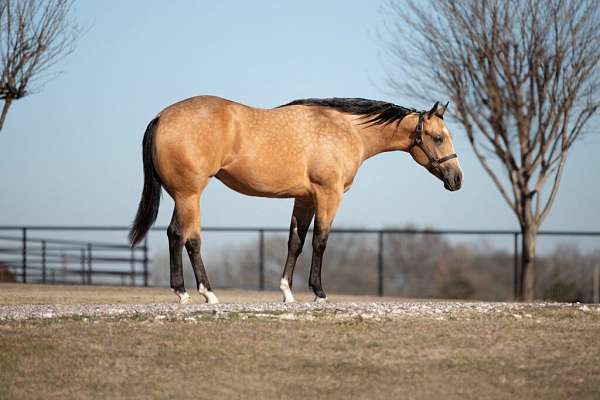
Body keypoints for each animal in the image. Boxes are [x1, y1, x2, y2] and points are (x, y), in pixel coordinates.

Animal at [127, 96, 464, 304]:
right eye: (438, 138)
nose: (457, 179)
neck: (345, 130)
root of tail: (161, 117)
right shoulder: (328, 195)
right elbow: (320, 241)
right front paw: (319, 292)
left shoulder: (304, 199)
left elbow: (296, 243)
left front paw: (287, 293)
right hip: (190, 195)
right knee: (189, 239)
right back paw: (202, 294)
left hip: (183, 196)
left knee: (175, 235)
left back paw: (187, 292)